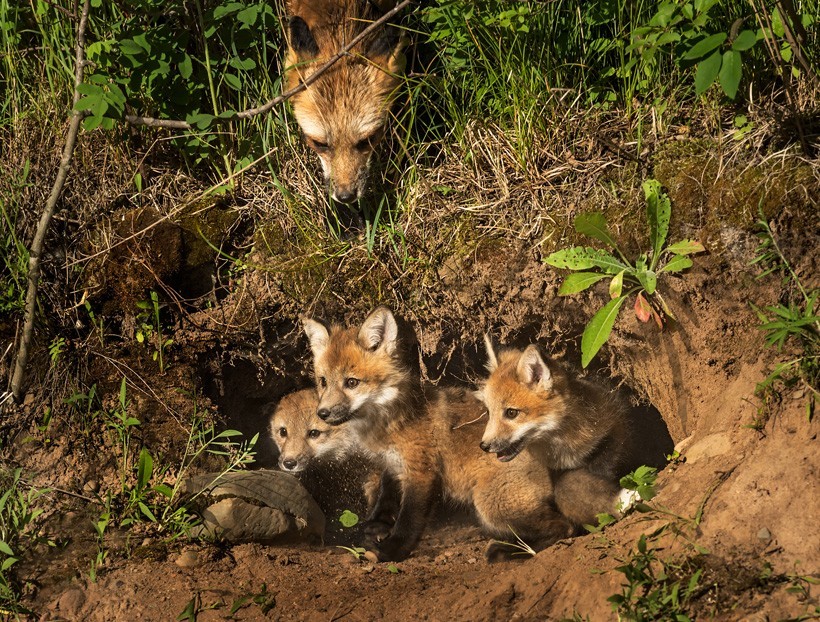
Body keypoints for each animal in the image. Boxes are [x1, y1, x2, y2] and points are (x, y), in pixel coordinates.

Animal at [302, 307, 575, 562]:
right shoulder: (393, 465)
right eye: (323, 381)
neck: (388, 425)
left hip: (490, 503)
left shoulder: (421, 471)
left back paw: (509, 551)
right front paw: (374, 527)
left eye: (352, 382)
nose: (323, 413)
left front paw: (392, 549)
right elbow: (385, 499)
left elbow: (408, 519)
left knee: (565, 527)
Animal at [476, 337, 638, 528]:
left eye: (511, 413)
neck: (566, 446)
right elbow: (566, 487)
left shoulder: (615, 432)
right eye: (488, 412)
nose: (484, 445)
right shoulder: (557, 470)